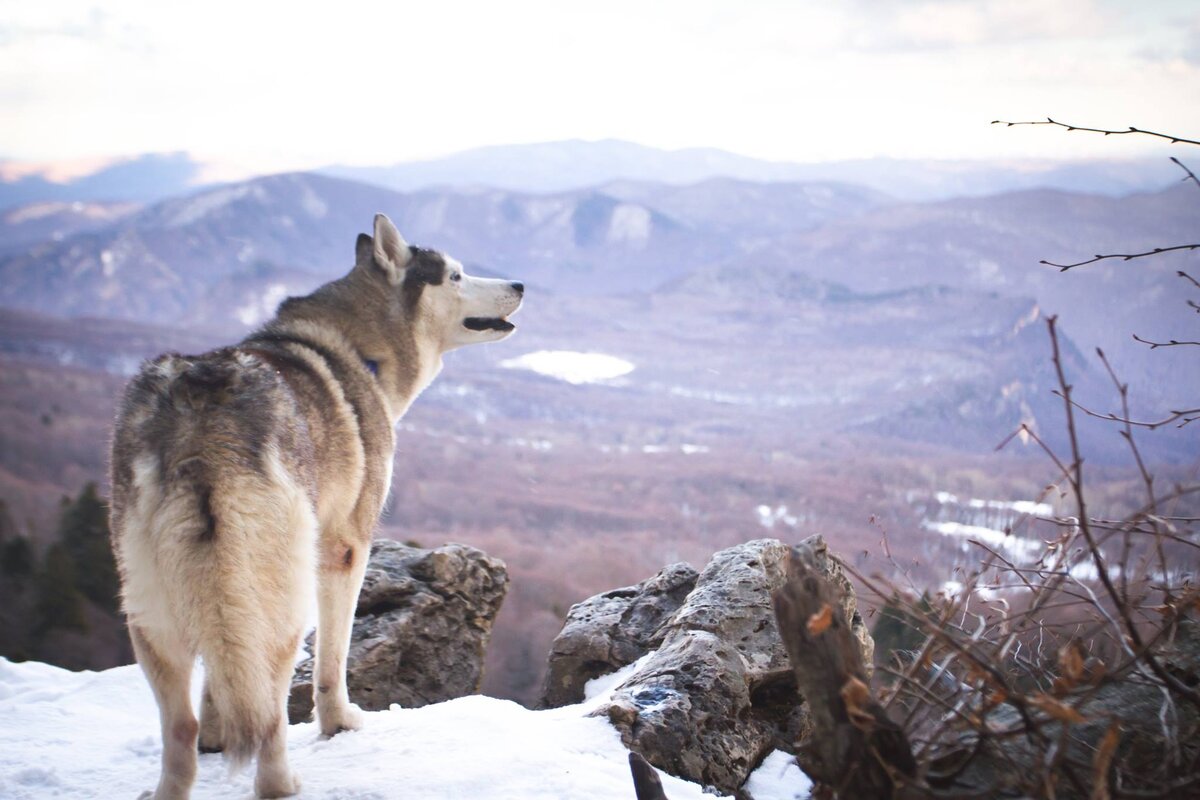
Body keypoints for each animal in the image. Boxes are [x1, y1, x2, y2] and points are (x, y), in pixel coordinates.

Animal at [110, 215, 523, 796]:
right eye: (456, 274)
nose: (521, 285)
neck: (360, 350)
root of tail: (199, 410)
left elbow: (220, 678)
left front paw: (218, 735)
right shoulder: (347, 549)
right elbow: (332, 661)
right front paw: (339, 724)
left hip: (150, 608)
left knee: (180, 726)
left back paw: (176, 779)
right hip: (282, 596)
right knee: (271, 712)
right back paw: (281, 782)